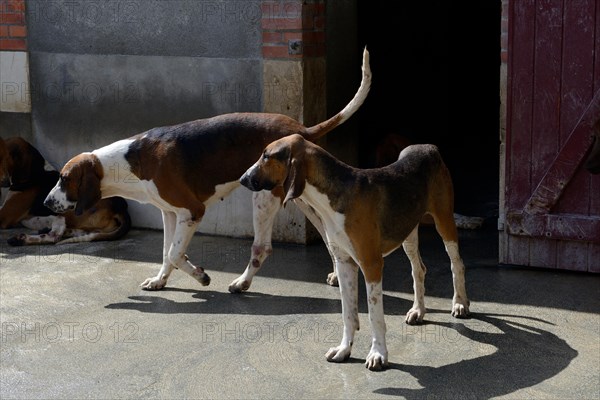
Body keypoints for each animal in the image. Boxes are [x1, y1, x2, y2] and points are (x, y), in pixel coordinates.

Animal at [0, 136, 131, 245]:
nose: (5, 183)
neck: (38, 172)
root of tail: (120, 206)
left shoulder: (4, 215)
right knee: (80, 232)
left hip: (67, 209)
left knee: (56, 234)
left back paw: (21, 239)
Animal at [42, 48, 370, 290]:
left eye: (64, 178)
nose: (46, 202)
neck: (127, 162)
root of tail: (299, 129)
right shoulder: (169, 213)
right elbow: (166, 252)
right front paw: (161, 280)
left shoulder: (192, 211)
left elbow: (175, 253)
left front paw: (200, 275)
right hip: (303, 198)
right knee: (328, 237)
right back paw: (335, 274)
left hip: (263, 196)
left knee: (262, 247)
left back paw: (242, 283)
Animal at [239, 134, 468, 372]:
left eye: (266, 156)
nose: (242, 179)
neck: (330, 198)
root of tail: (428, 147)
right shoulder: (344, 262)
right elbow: (348, 314)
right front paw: (344, 350)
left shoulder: (371, 263)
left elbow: (375, 316)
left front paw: (378, 354)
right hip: (408, 233)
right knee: (419, 270)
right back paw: (418, 310)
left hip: (444, 222)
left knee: (457, 263)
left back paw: (460, 303)